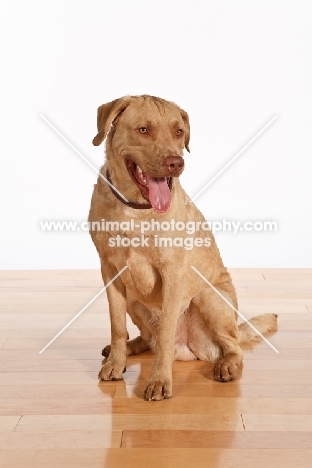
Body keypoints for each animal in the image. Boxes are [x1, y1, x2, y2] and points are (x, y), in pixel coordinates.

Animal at [88, 93, 278, 400]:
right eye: (143, 130)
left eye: (178, 132)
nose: (176, 163)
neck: (136, 209)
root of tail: (187, 351)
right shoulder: (110, 272)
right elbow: (117, 326)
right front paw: (116, 363)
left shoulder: (173, 274)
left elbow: (166, 332)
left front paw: (159, 380)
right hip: (133, 298)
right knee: (148, 339)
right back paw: (128, 349)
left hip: (209, 297)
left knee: (232, 346)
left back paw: (227, 365)